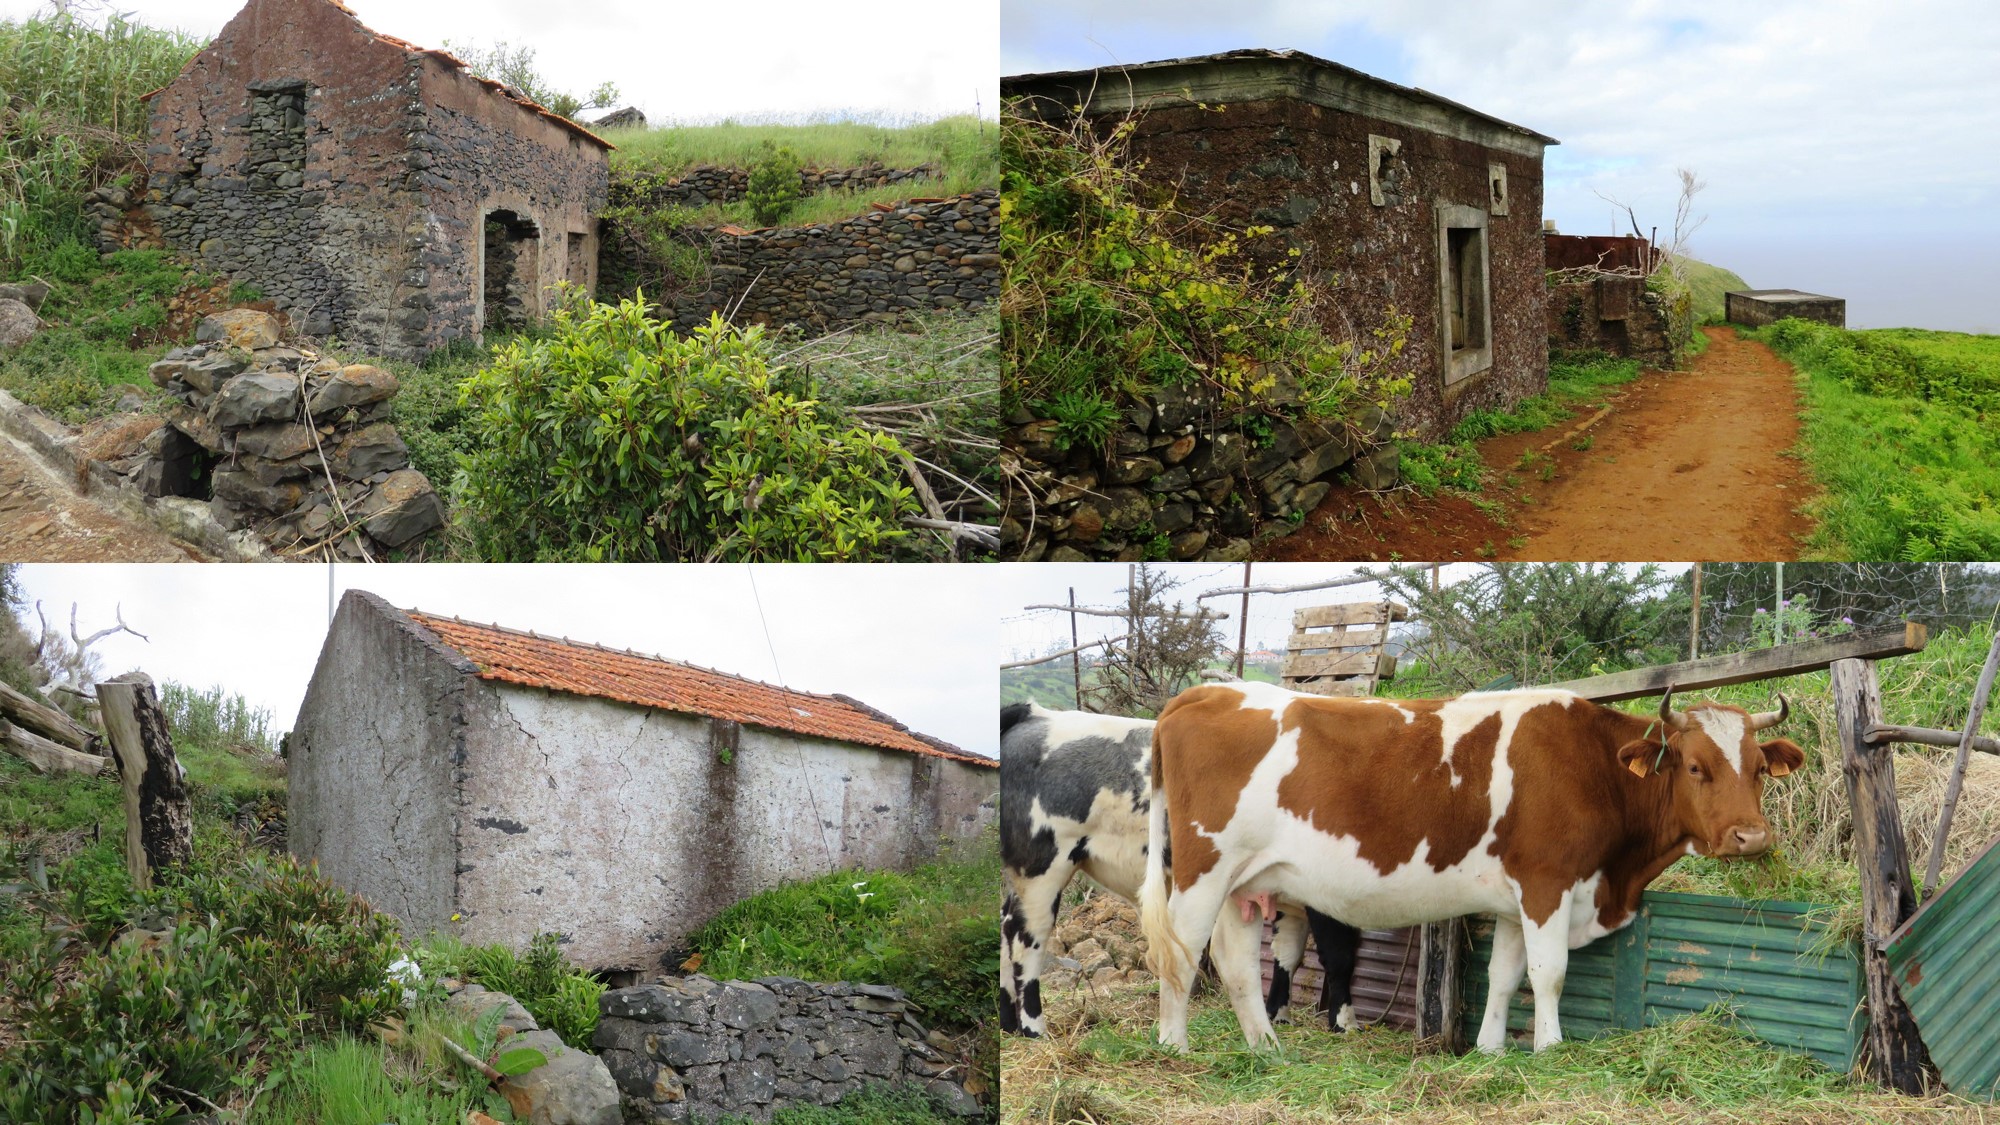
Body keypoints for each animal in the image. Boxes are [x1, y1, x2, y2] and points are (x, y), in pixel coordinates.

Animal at [1000, 700, 1360, 1032]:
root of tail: (1036, 713)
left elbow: (1288, 952)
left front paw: (1279, 1014)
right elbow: (1339, 956)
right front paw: (1345, 1024)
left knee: (1006, 928)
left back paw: (1008, 1023)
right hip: (1042, 867)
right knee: (1026, 936)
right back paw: (1034, 1029)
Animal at [1136, 672, 1808, 1048]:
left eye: (1758, 768)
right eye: (1695, 767)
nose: (1751, 837)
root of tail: (1203, 692)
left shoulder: (1516, 899)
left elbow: (1506, 975)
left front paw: (1489, 1050)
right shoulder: (1546, 882)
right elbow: (1549, 972)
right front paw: (1549, 1050)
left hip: (1243, 882)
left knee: (1235, 961)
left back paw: (1265, 1047)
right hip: (1201, 871)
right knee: (1181, 953)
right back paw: (1174, 1046)